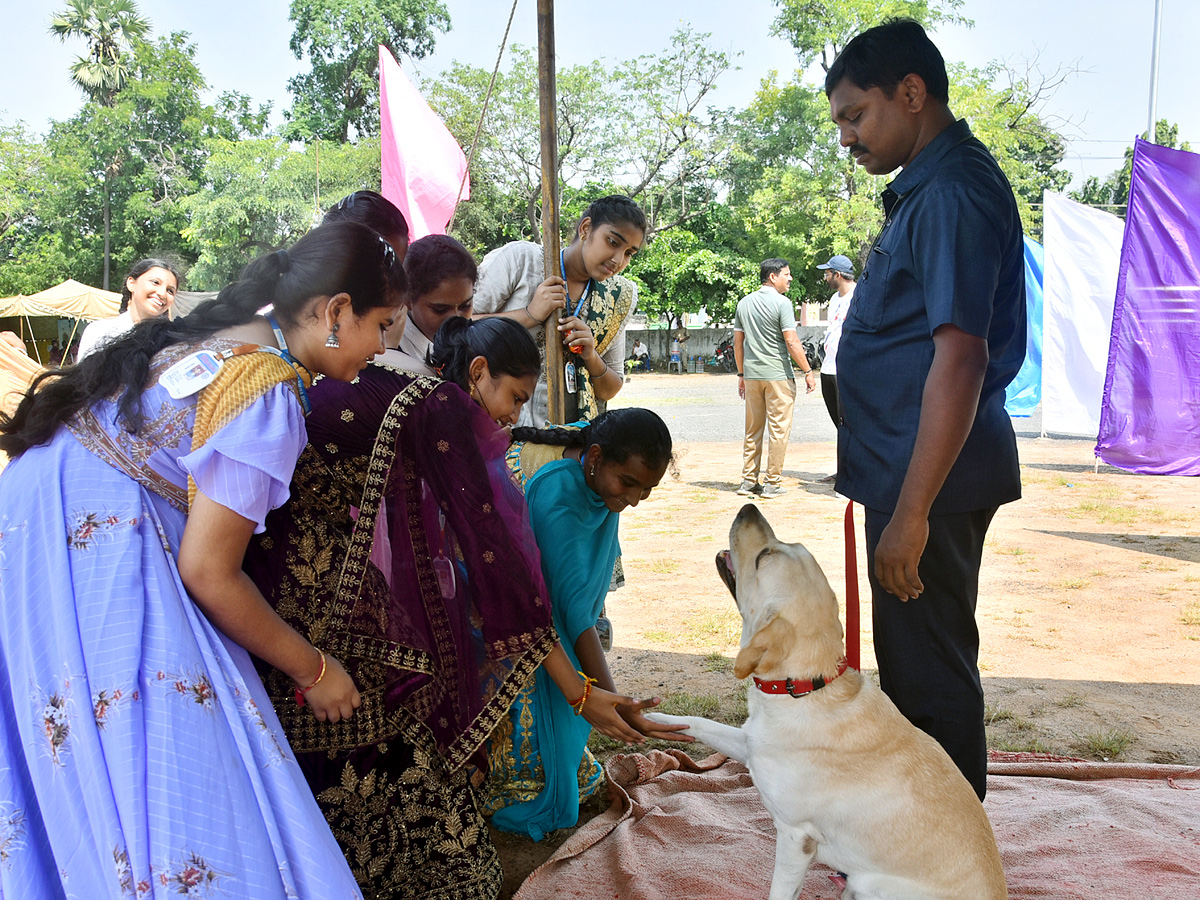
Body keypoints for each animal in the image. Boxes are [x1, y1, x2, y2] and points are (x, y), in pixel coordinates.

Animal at [648, 508, 1003, 900]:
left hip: (872, 882)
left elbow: (779, 893)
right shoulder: (751, 743)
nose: (748, 509)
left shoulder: (795, 836)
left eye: (764, 557)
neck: (802, 688)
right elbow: (698, 723)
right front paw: (650, 717)